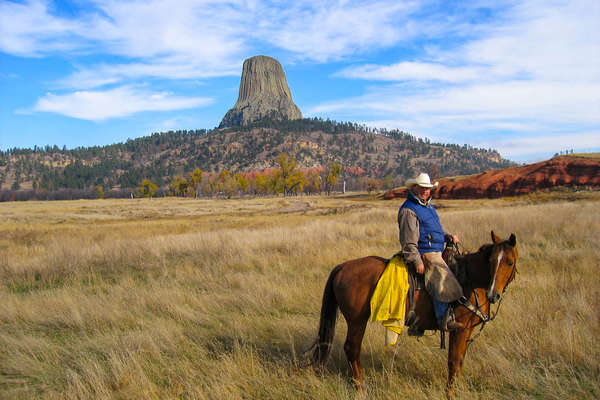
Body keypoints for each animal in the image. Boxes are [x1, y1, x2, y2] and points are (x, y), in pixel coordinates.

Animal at [308, 230, 516, 398]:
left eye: (509, 262)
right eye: (491, 261)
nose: (493, 294)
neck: (468, 280)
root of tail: (342, 267)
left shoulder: (467, 331)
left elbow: (460, 361)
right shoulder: (460, 329)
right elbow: (454, 362)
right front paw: (450, 394)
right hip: (357, 321)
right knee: (352, 349)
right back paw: (361, 388)